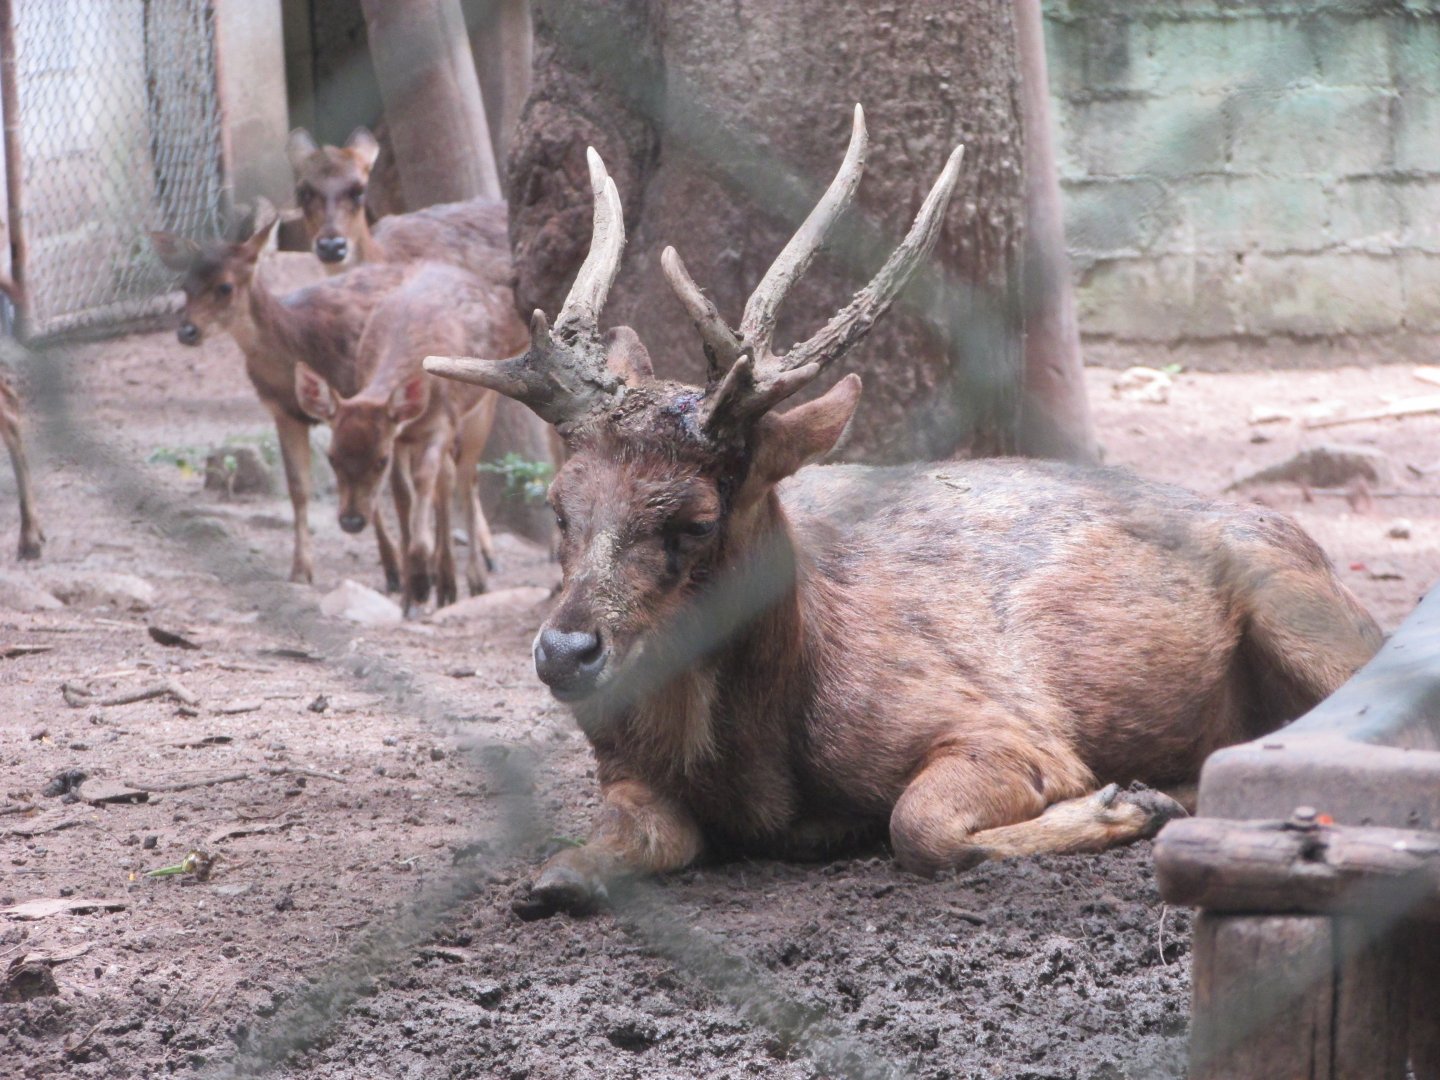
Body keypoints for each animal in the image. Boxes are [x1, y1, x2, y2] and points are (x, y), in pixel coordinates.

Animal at [293, 261, 525, 615]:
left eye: (380, 460)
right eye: (331, 457)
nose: (351, 520)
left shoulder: (440, 426)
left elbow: (425, 480)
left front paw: (420, 577)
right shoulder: (400, 436)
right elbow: (403, 493)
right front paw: (410, 589)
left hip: (482, 407)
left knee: (464, 480)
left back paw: (473, 579)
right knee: (447, 480)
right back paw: (445, 581)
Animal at [426, 108, 1384, 918]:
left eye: (695, 520)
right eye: (559, 505)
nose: (564, 652)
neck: (760, 770)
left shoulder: (1009, 726)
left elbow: (918, 826)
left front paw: (1119, 803)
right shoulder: (618, 762)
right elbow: (581, 861)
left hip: (1302, 612)